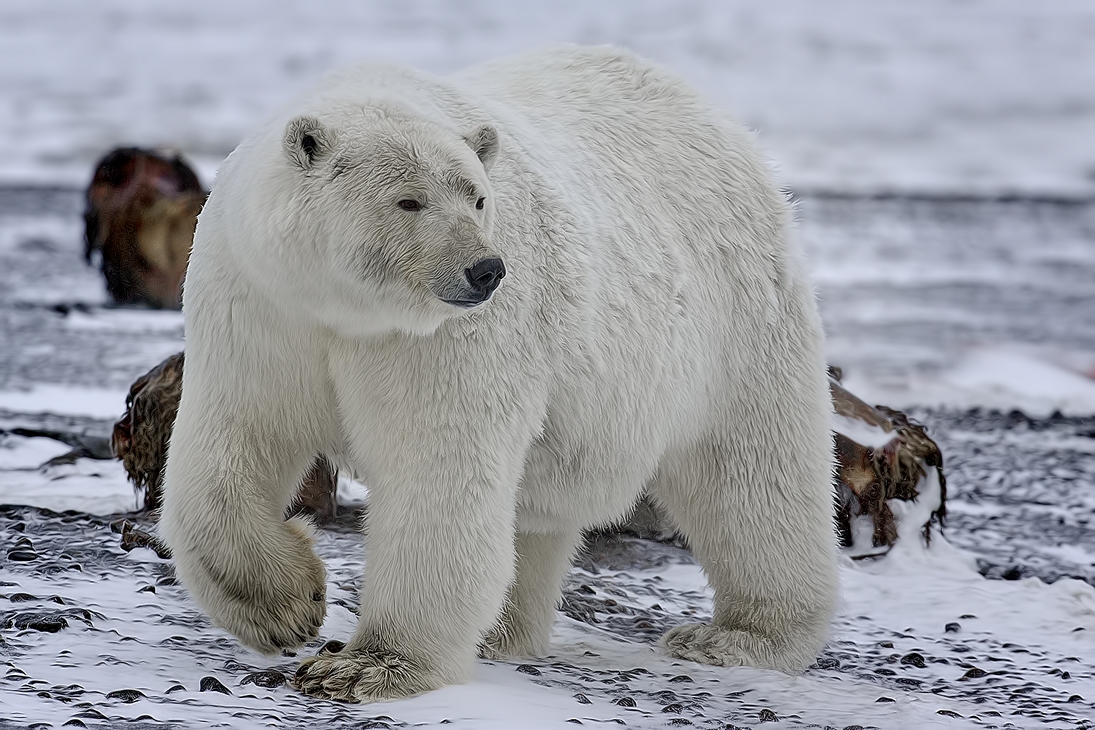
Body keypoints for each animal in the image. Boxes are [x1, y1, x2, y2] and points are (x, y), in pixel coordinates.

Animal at [158, 44, 832, 700]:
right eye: (409, 200)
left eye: (479, 197)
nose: (485, 269)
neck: (346, 310)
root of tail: (716, 117)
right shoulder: (262, 307)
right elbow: (239, 438)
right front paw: (288, 606)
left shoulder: (446, 339)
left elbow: (438, 466)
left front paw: (367, 665)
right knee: (535, 509)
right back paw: (502, 632)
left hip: (736, 316)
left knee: (748, 471)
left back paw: (736, 636)